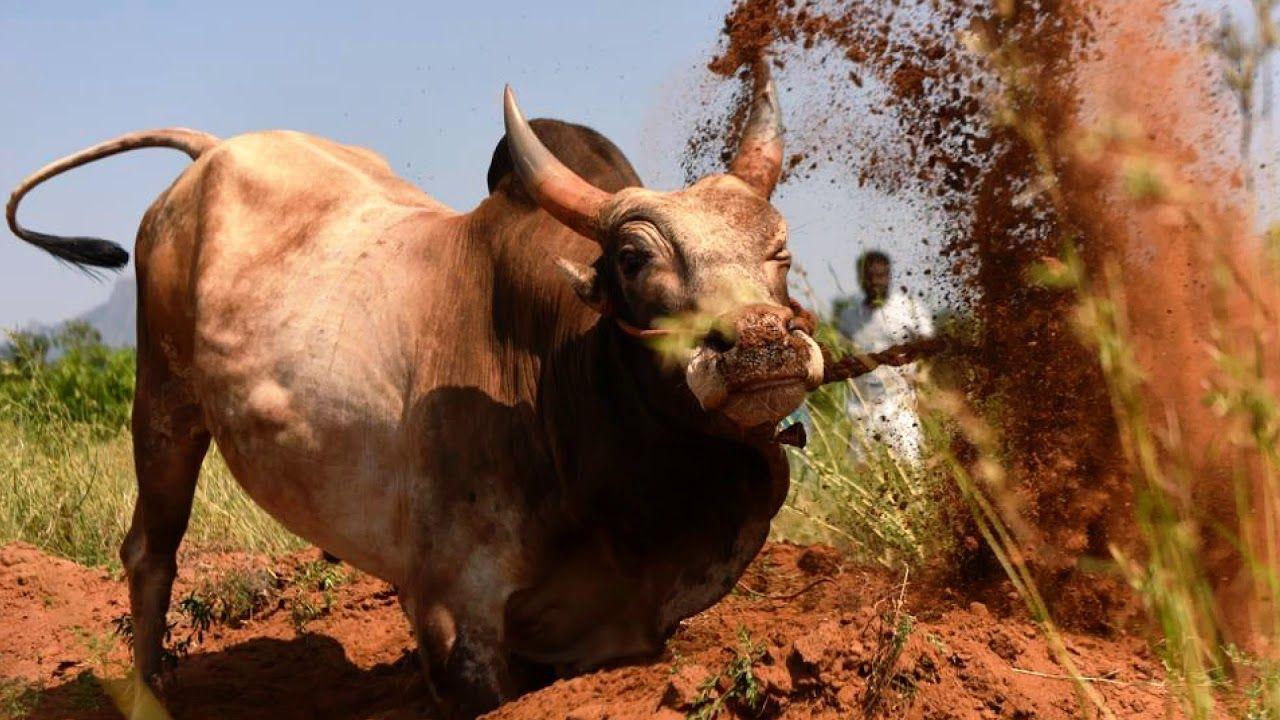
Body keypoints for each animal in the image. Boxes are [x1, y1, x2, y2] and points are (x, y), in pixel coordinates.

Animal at [7, 68, 850, 717]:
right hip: (164, 398)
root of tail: (212, 153)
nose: (762, 343)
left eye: (779, 249)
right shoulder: (454, 619)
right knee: (150, 552)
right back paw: (151, 692)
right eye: (634, 258)